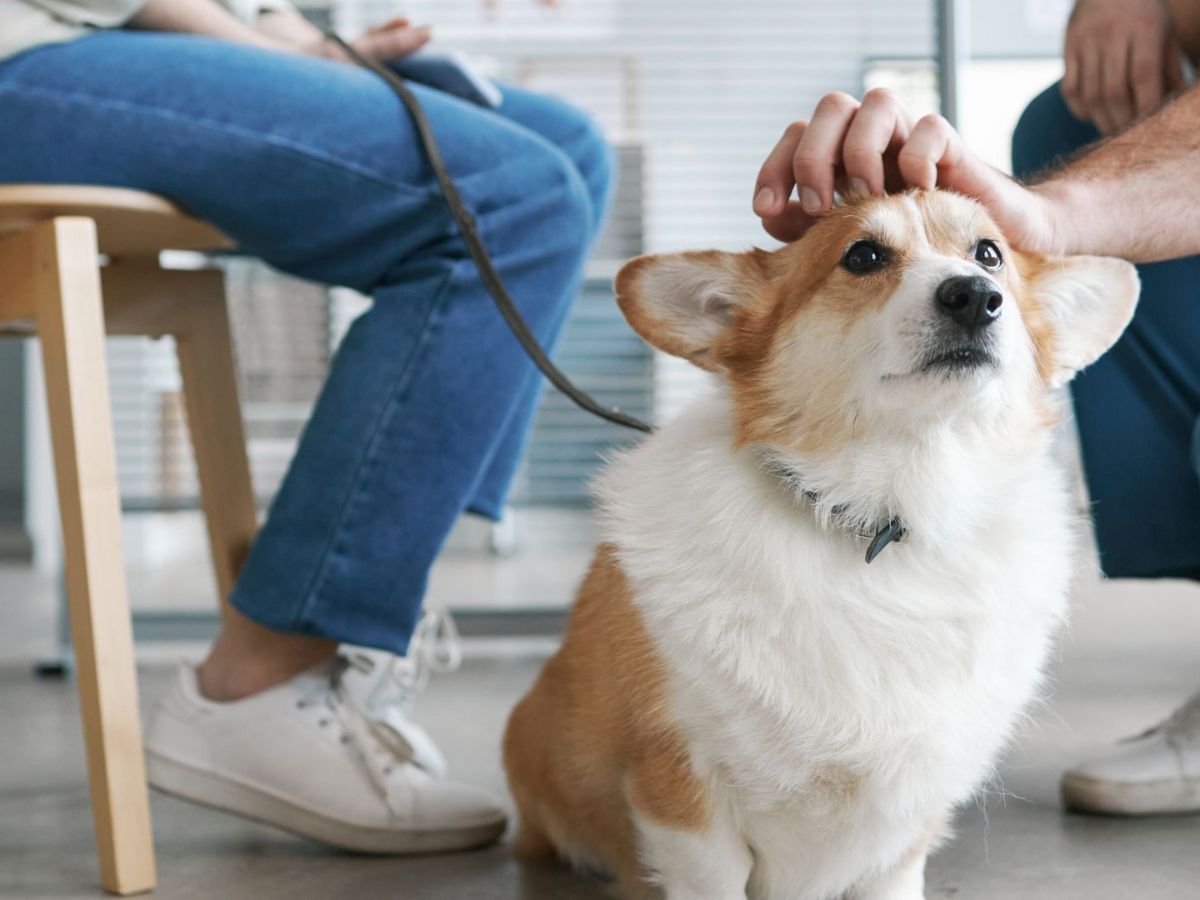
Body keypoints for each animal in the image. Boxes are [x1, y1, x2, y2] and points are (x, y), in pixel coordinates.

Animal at [501, 192, 1137, 900]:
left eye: (989, 253)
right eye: (862, 256)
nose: (975, 296)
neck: (888, 516)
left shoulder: (900, 838)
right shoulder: (686, 798)